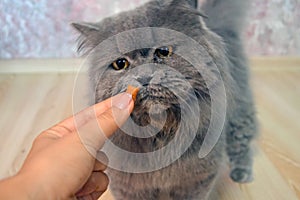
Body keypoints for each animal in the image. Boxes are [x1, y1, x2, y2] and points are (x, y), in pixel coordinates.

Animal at [72, 0, 258, 199]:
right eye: (120, 64)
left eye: (163, 52)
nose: (144, 77)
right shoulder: (127, 187)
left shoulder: (198, 180)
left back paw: (241, 174)